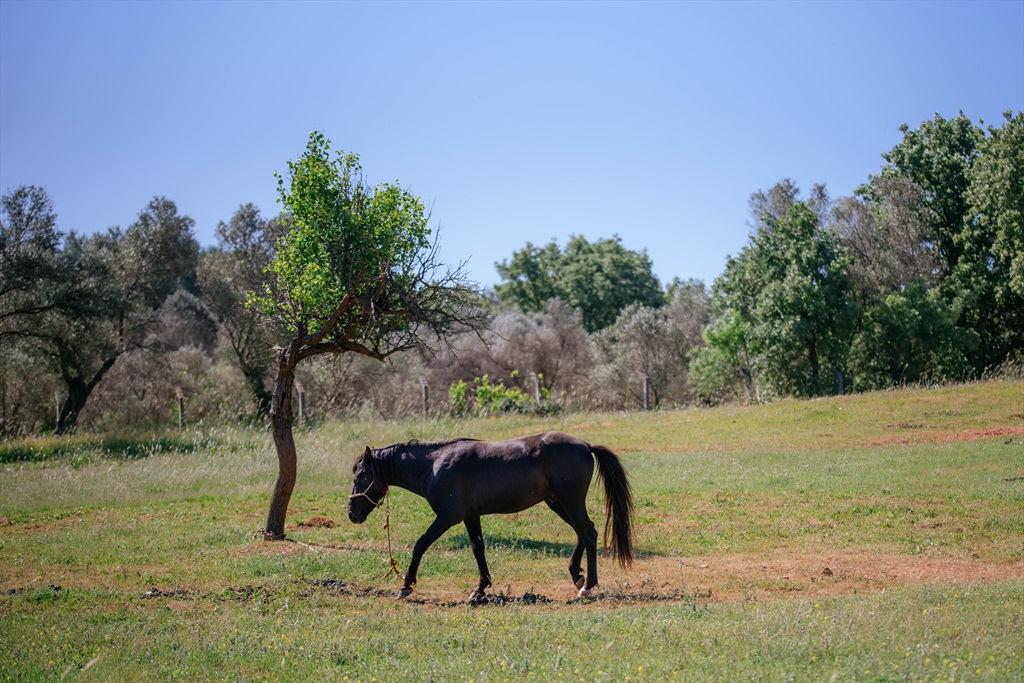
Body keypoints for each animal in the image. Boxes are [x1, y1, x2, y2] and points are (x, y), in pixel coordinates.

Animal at [346, 432, 630, 598]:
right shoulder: (471, 517)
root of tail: (585, 445)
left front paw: (406, 584)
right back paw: (577, 575)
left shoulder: (448, 517)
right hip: (558, 503)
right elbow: (477, 548)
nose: (352, 514)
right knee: (584, 531)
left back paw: (587, 586)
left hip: (569, 501)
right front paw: (480, 588)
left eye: (360, 477)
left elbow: (421, 544)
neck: (435, 465)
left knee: (588, 533)